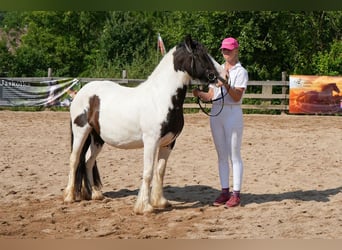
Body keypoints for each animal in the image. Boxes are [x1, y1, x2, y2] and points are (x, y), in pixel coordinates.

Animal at [63, 36, 222, 214]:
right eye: (200, 55)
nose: (221, 75)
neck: (160, 98)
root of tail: (82, 92)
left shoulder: (169, 143)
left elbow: (160, 171)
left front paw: (160, 202)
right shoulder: (151, 142)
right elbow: (148, 172)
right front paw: (144, 207)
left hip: (97, 137)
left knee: (88, 161)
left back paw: (95, 194)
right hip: (81, 131)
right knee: (75, 159)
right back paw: (69, 196)